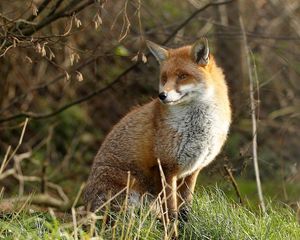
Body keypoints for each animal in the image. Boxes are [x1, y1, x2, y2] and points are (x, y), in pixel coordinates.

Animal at [84, 38, 232, 219]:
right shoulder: (166, 168)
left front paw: (185, 225)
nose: (162, 96)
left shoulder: (192, 171)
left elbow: (185, 208)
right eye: (164, 78)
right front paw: (172, 227)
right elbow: (171, 211)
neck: (198, 127)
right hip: (129, 196)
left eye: (182, 76)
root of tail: (86, 209)